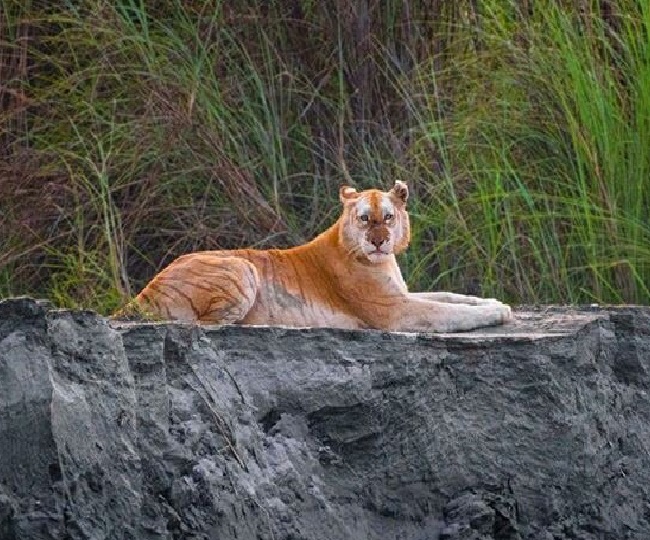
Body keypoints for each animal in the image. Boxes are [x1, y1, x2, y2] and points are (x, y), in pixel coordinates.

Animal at [115, 181, 512, 333]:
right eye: (364, 218)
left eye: (388, 217)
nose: (379, 241)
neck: (381, 261)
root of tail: (145, 290)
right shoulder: (394, 311)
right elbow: (448, 311)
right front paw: (497, 313)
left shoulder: (401, 294)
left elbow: (453, 296)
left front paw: (496, 302)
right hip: (243, 267)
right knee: (207, 325)